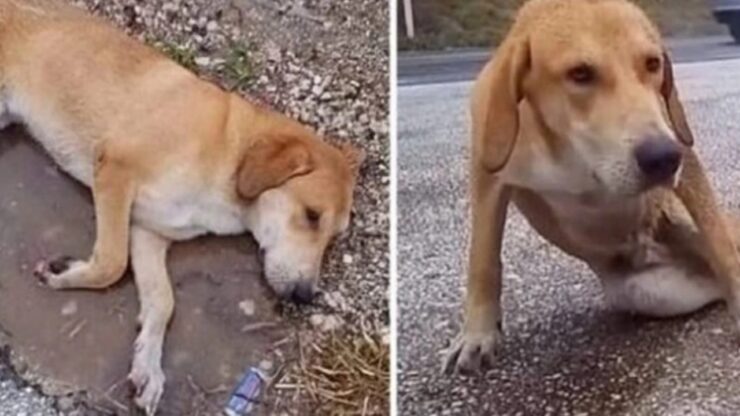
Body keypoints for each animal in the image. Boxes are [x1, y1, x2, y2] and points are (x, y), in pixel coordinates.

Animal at [0, 0, 362, 412]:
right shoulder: (115, 170)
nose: (305, 296)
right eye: (312, 216)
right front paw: (65, 275)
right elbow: (112, 263)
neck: (227, 153)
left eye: (334, 238)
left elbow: (163, 302)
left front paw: (148, 365)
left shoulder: (148, 232)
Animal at [442, 0, 740, 374]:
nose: (662, 158)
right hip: (646, 293)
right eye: (580, 74)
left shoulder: (682, 153)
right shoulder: (487, 175)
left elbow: (721, 245)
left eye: (652, 63)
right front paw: (477, 335)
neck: (570, 149)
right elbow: (482, 259)